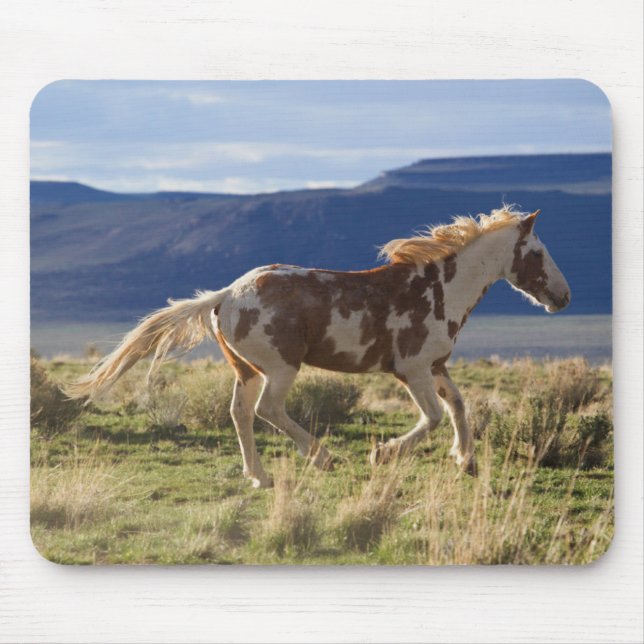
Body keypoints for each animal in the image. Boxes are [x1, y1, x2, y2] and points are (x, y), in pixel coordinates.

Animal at [66, 207, 570, 488]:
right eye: (539, 253)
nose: (564, 297)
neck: (440, 289)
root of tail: (225, 295)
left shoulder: (436, 366)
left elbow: (460, 407)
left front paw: (464, 460)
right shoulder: (411, 369)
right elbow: (430, 418)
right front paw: (383, 453)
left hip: (246, 370)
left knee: (240, 413)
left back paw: (260, 476)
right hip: (281, 368)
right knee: (269, 410)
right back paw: (324, 457)